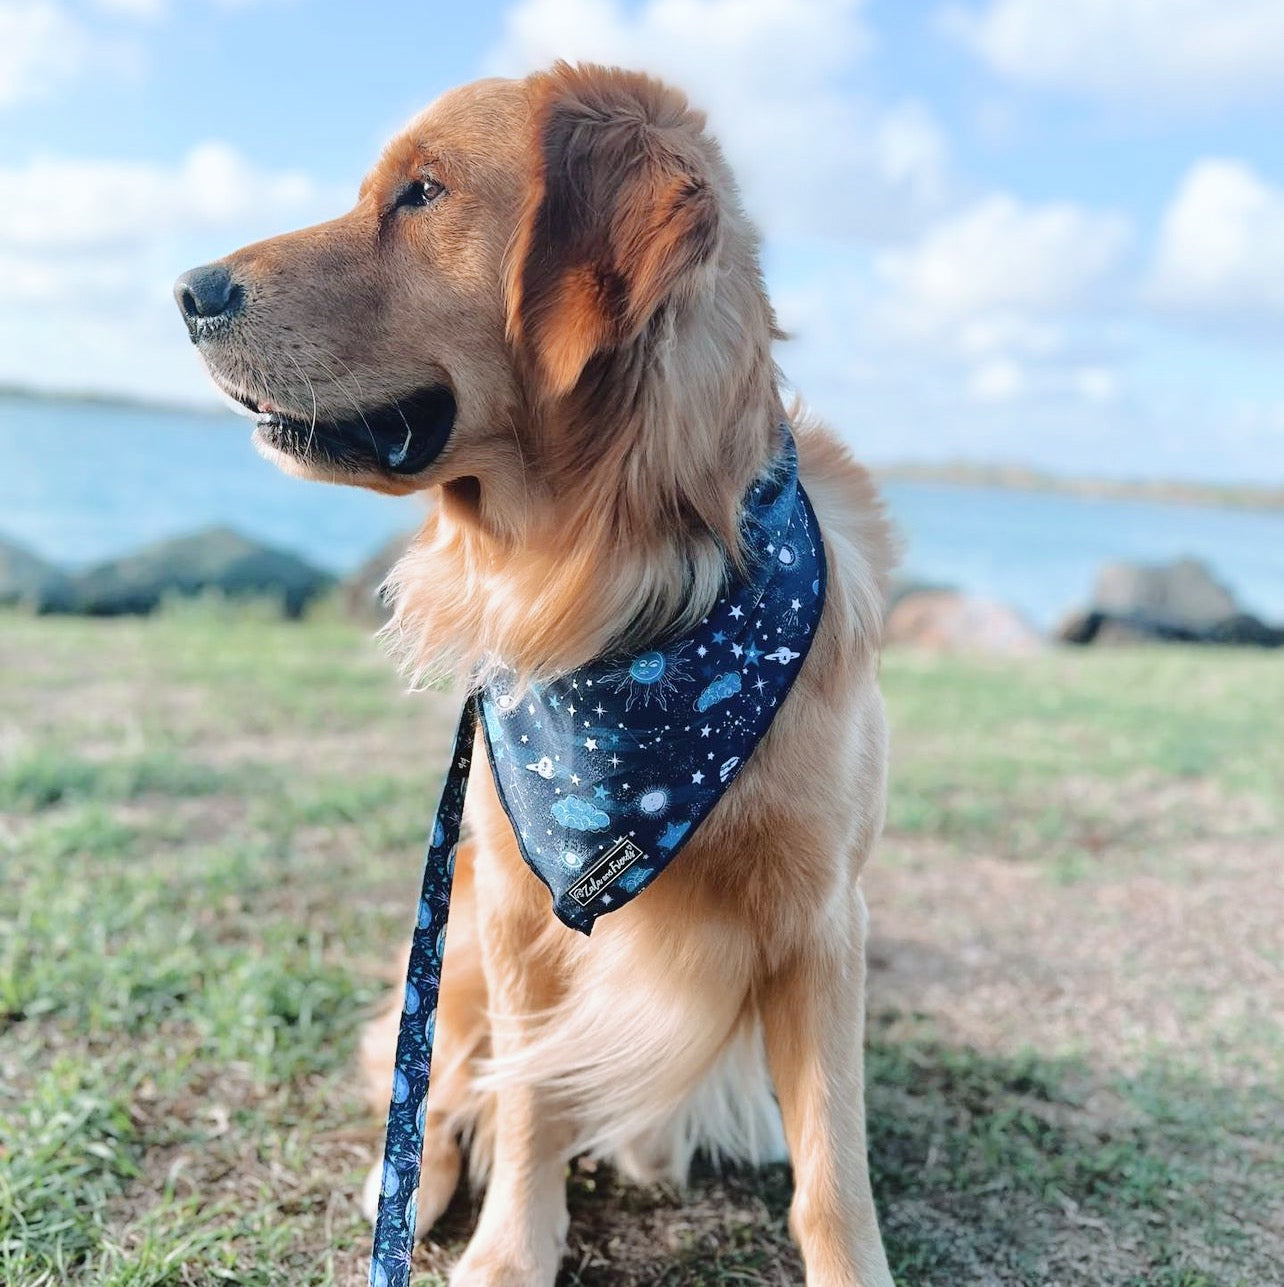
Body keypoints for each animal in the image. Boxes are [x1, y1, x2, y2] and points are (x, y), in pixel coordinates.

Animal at [176, 65, 900, 1287]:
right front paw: (511, 1251)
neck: (623, 601)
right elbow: (528, 1105)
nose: (188, 290)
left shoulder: (821, 923)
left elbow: (833, 1170)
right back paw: (409, 1181)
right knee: (441, 1080)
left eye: (422, 193)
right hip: (459, 928)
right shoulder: (517, 900)